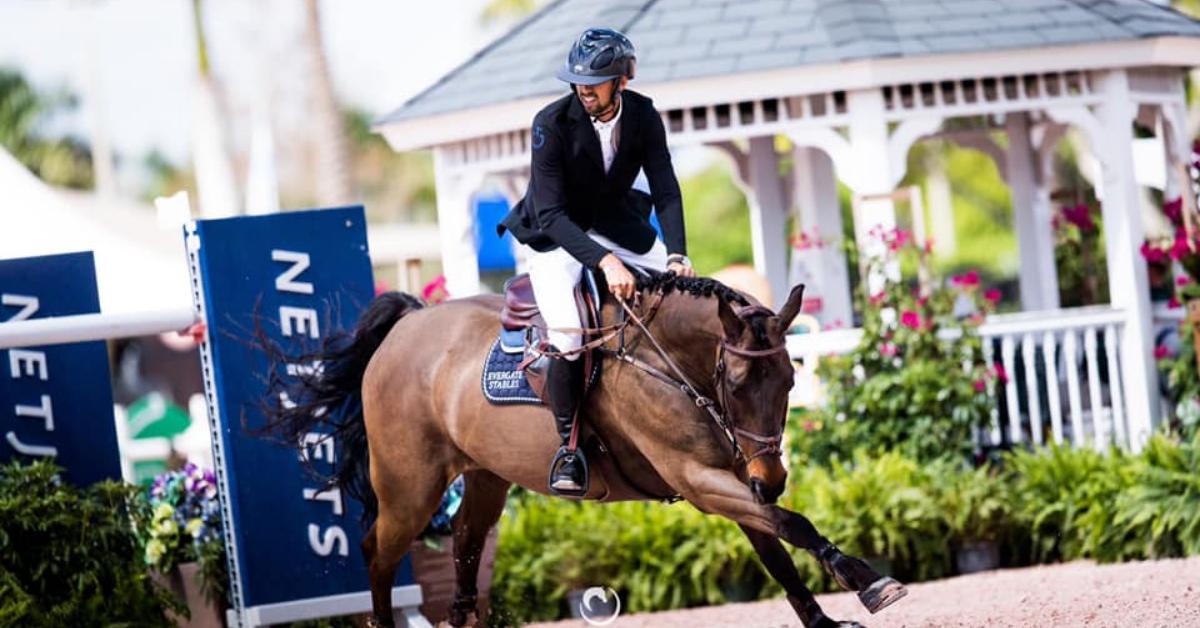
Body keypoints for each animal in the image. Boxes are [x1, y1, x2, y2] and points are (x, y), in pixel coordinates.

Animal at [267, 274, 902, 628]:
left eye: (791, 381)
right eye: (741, 384)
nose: (770, 476)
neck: (670, 364)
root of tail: (405, 328)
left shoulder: (728, 478)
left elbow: (775, 546)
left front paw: (824, 620)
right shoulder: (698, 479)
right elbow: (792, 524)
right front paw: (866, 578)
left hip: (485, 479)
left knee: (466, 552)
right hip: (410, 488)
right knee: (377, 552)